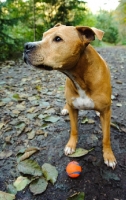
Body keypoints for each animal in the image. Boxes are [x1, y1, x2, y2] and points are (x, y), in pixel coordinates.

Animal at [23, 23, 117, 170]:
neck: (80, 78)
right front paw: (71, 145)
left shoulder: (106, 112)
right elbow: (74, 129)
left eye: (58, 39)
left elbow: (106, 137)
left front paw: (108, 156)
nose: (26, 45)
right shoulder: (73, 109)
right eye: (43, 36)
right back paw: (64, 108)